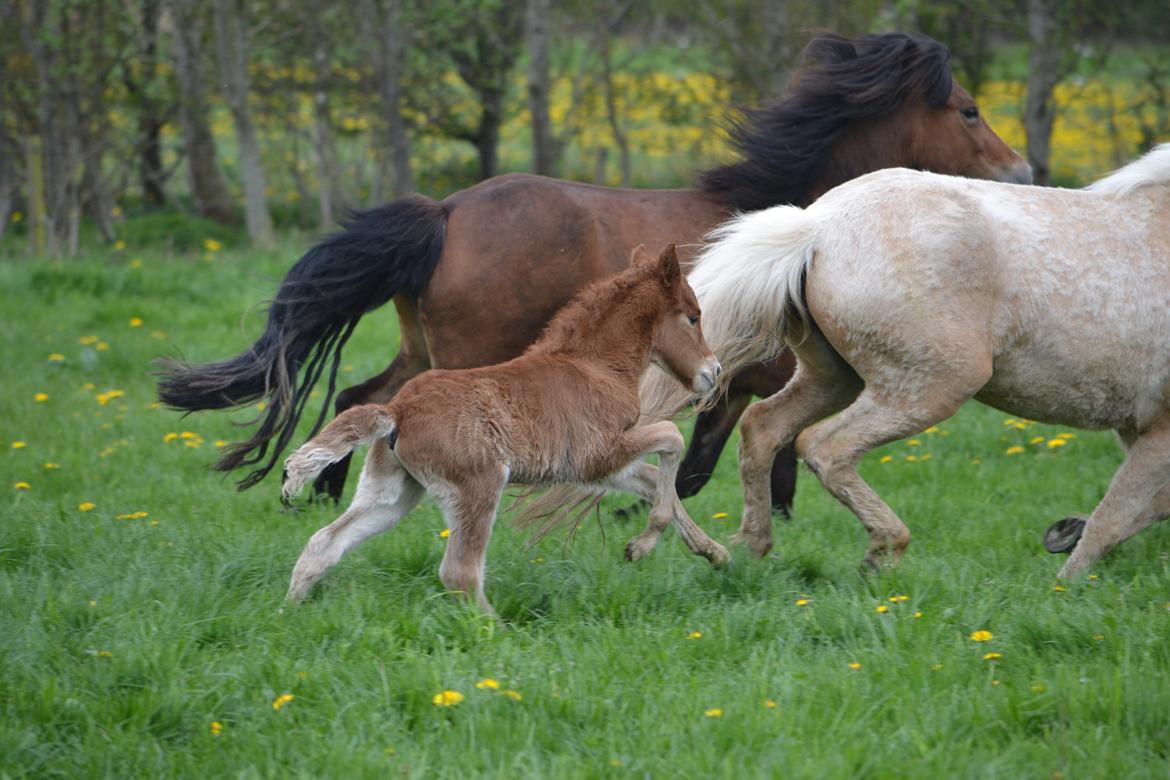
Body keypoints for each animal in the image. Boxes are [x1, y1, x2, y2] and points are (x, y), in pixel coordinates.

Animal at [160, 32, 1029, 512]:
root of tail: (443, 214)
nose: (1021, 173)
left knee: (358, 400)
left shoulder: (745, 382)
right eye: (969, 109)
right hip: (469, 359)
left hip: (419, 347)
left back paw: (324, 496)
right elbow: (729, 464)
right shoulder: (755, 380)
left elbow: (740, 462)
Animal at [279, 245, 725, 617]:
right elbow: (671, 440)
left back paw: (290, 613)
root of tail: (398, 409)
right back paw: (498, 629)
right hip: (478, 485)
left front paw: (711, 551)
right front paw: (643, 546)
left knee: (325, 542)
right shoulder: (598, 455)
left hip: (392, 493)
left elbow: (651, 479)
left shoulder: (597, 467)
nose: (715, 371)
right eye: (693, 317)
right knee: (459, 572)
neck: (595, 366)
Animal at [641, 143, 1170, 577]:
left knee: (763, 429)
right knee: (825, 447)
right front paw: (1064, 583)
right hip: (932, 386)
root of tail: (819, 227)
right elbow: (1113, 518)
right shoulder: (1159, 431)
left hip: (834, 379)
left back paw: (752, 547)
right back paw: (884, 549)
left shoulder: (1136, 428)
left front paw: (1065, 534)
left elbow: (1136, 510)